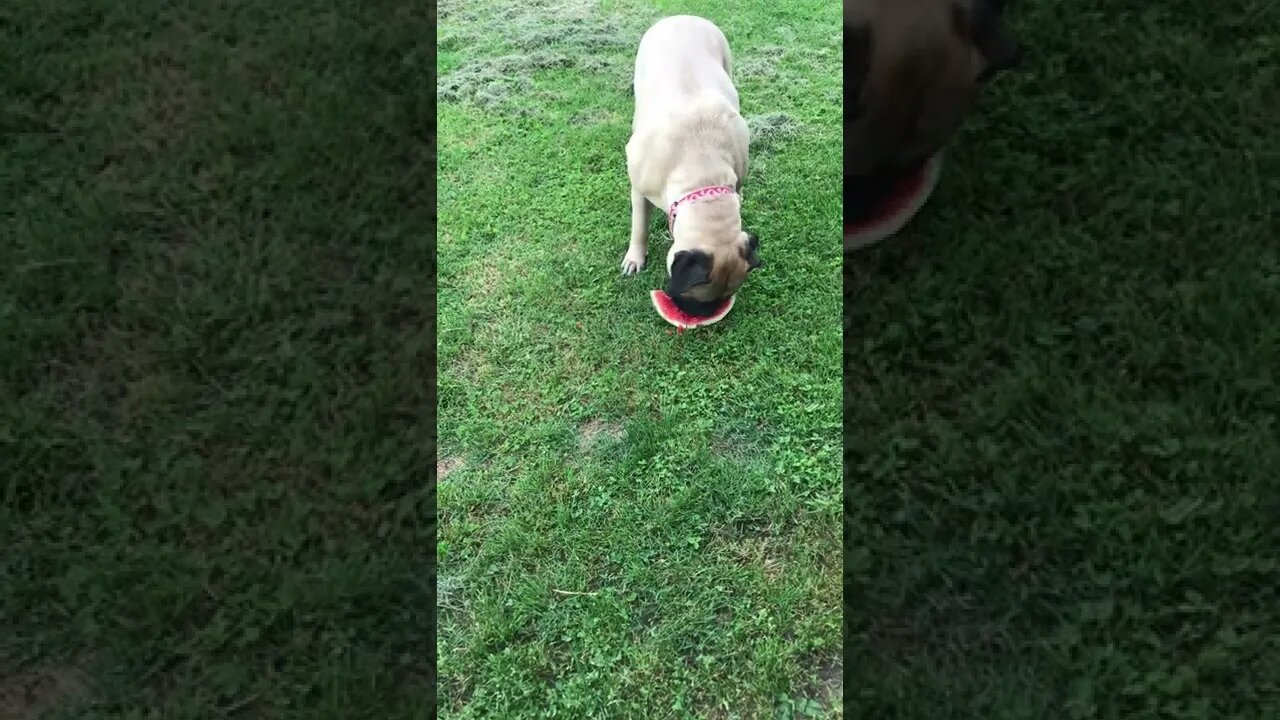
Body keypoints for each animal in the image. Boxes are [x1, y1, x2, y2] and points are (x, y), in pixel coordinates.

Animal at [622, 15, 757, 313]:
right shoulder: (639, 191)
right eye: (694, 297)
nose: (704, 314)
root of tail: (682, 16)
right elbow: (639, 226)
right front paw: (635, 257)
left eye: (725, 298)